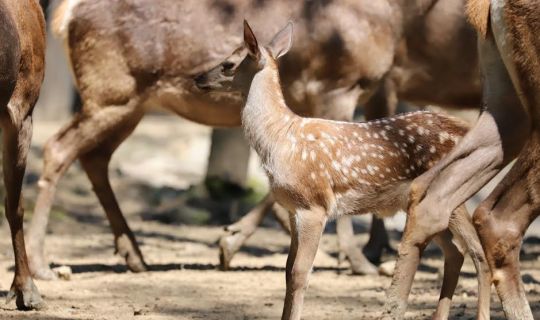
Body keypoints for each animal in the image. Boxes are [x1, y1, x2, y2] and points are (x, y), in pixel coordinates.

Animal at [26, 0, 464, 278]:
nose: (199, 77)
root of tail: (64, 13)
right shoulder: (337, 86)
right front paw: (359, 260)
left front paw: (231, 240)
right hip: (111, 89)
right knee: (58, 148)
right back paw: (41, 265)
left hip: (128, 103)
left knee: (94, 158)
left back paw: (134, 255)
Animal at [196, 21, 492, 320]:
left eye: (228, 64)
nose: (197, 78)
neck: (280, 139)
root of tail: (462, 128)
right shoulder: (293, 209)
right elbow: (287, 271)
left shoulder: (314, 206)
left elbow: (300, 273)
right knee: (456, 252)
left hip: (452, 193)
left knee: (478, 252)